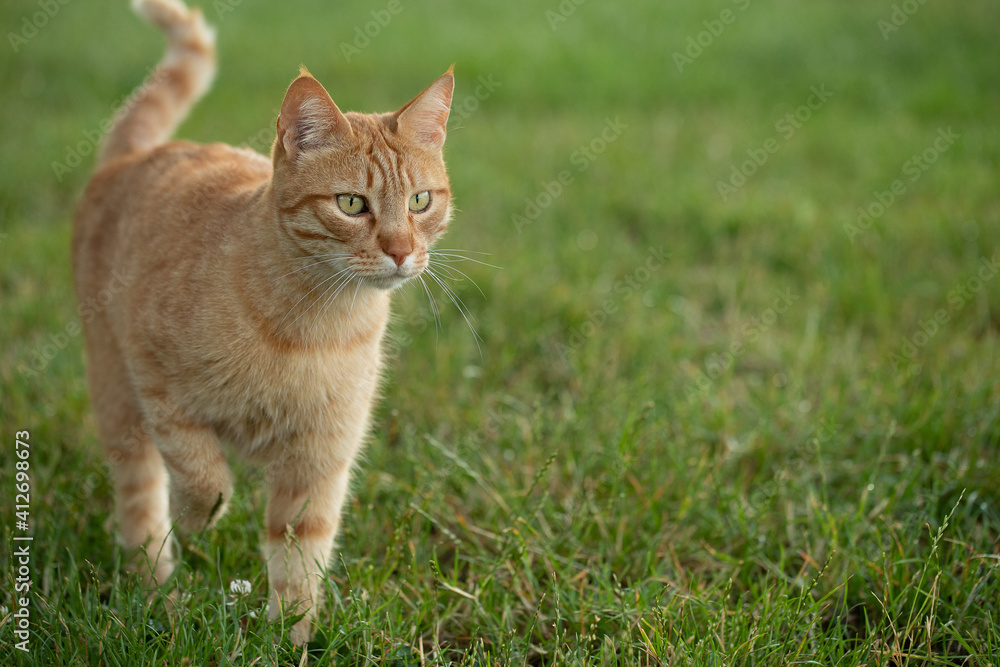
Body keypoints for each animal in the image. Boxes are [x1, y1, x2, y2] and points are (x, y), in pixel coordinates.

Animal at [74, 0, 458, 644]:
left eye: (421, 202)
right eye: (351, 204)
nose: (403, 252)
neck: (312, 326)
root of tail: (135, 154)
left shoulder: (320, 459)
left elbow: (300, 556)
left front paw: (290, 642)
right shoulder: (156, 381)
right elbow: (202, 475)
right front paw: (198, 518)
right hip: (116, 395)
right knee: (141, 498)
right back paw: (159, 597)